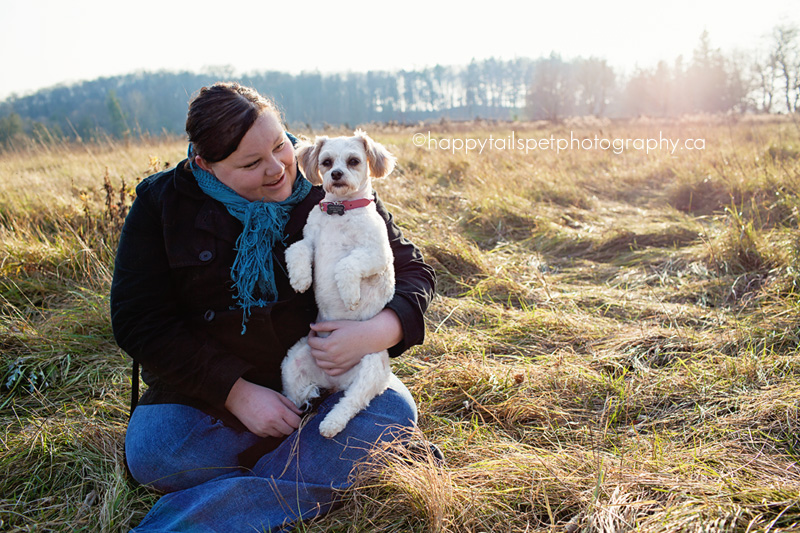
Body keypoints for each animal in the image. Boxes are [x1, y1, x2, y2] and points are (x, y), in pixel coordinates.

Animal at [282, 129, 398, 436]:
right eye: (326, 162)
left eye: (354, 161)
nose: (336, 174)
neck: (341, 209)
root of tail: (336, 382)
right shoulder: (310, 241)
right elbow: (296, 249)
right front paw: (300, 278)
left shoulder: (377, 254)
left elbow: (346, 265)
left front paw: (350, 296)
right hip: (293, 362)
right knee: (296, 397)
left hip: (371, 365)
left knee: (352, 401)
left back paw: (331, 423)